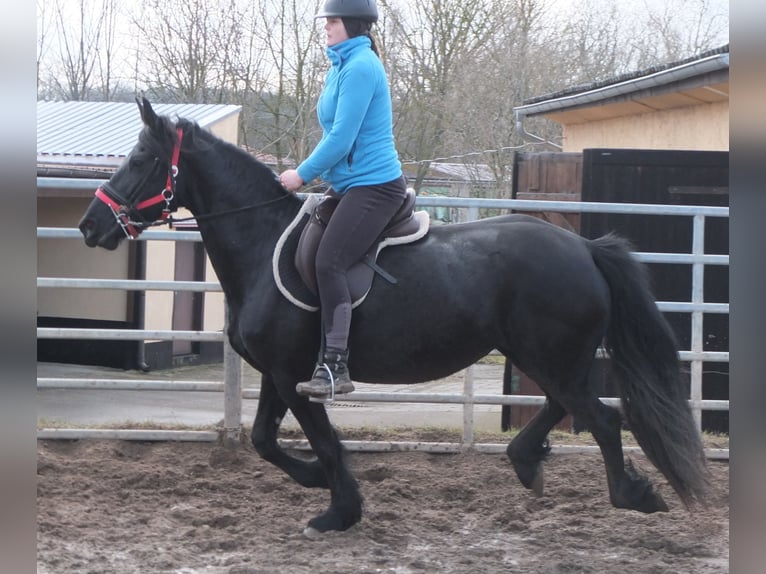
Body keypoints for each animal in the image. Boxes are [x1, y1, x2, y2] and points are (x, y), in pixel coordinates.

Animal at [79, 101, 712, 536]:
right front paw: (320, 485)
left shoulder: (295, 375)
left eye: (141, 159)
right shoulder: (276, 374)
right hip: (544, 355)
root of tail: (584, 247)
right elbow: (262, 439)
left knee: (601, 418)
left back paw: (632, 494)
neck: (263, 243)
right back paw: (526, 463)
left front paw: (338, 511)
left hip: (551, 355)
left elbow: (322, 440)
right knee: (565, 407)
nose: (90, 225)